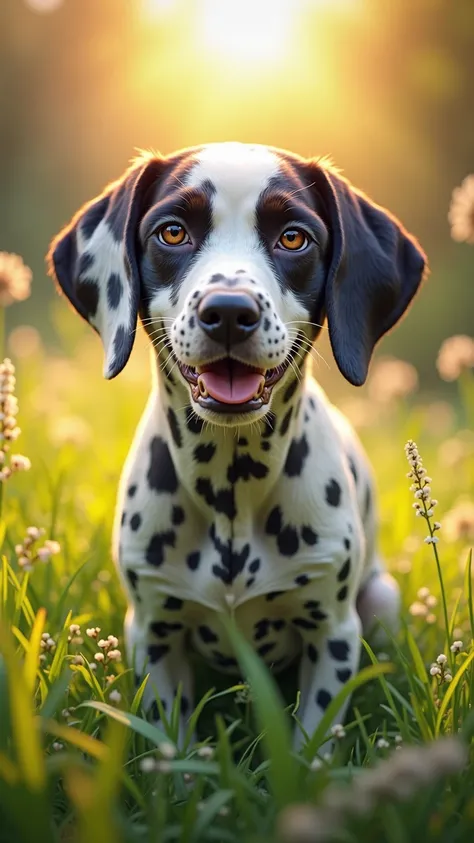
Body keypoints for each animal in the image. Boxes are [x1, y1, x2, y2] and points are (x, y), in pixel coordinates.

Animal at [48, 142, 426, 748]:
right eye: (172, 232)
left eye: (293, 237)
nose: (228, 311)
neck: (231, 491)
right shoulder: (154, 633)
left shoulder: (332, 635)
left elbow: (311, 748)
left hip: (381, 601)